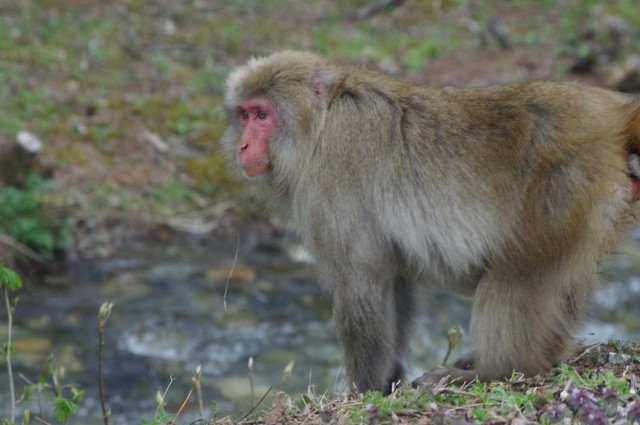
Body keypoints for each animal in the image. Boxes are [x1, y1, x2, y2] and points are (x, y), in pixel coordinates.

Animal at [221, 51, 640, 392]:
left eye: (263, 115)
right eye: (244, 115)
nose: (243, 145)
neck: (322, 123)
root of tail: (611, 114)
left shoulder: (333, 173)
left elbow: (362, 281)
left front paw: (364, 391)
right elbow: (394, 282)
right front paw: (389, 381)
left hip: (563, 185)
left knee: (517, 274)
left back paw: (496, 371)